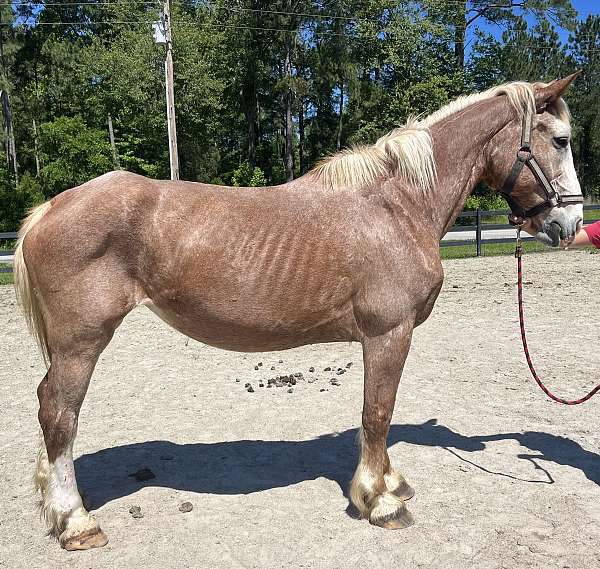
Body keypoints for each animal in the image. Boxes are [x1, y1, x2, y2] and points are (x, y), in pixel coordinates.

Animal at [14, 73, 584, 548]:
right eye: (560, 140)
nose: (571, 224)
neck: (396, 208)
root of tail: (51, 207)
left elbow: (379, 414)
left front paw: (391, 482)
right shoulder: (388, 333)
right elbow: (377, 412)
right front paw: (379, 501)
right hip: (82, 343)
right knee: (58, 413)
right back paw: (77, 522)